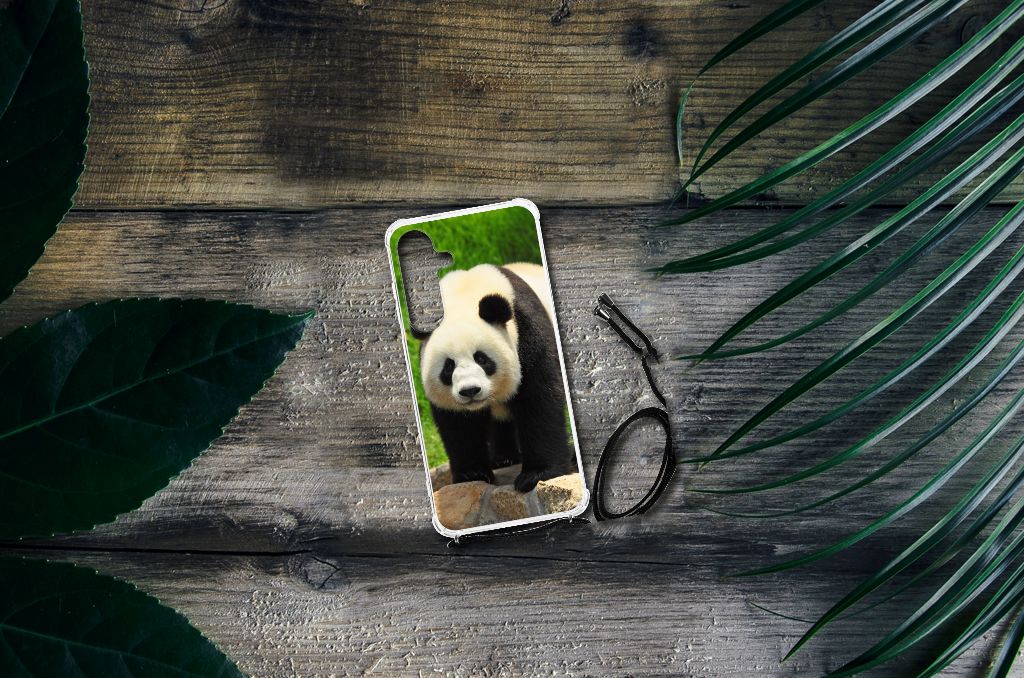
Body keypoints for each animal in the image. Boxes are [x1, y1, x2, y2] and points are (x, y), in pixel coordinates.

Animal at [415, 262, 577, 492]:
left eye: (482, 358)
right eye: (448, 366)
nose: (470, 391)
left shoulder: (527, 333)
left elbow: (539, 402)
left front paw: (536, 474)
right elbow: (459, 424)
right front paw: (472, 474)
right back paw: (504, 458)